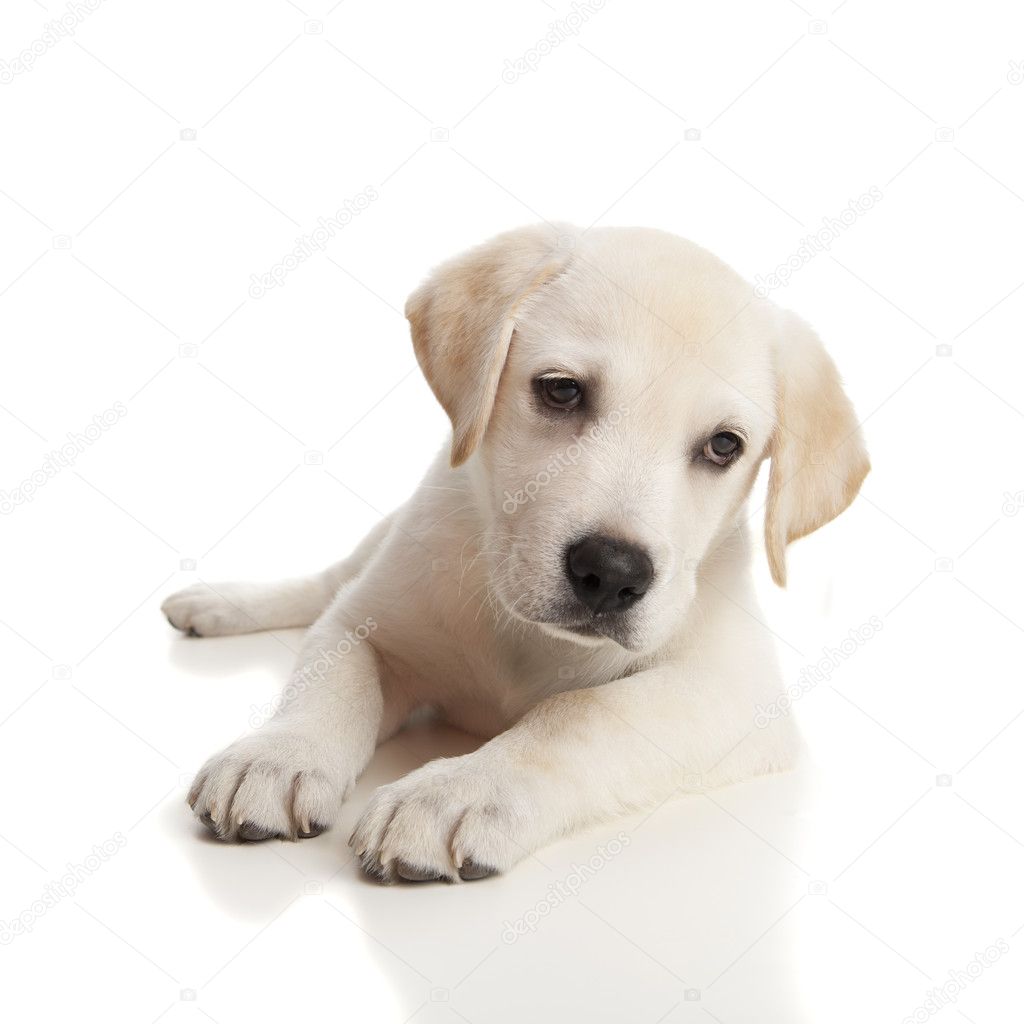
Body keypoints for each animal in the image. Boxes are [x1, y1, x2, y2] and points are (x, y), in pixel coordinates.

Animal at [163, 224, 868, 880]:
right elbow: (331, 680)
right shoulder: (366, 623)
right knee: (322, 584)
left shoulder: (734, 693)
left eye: (724, 446)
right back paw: (219, 604)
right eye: (561, 390)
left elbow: (584, 713)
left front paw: (455, 793)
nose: (612, 572)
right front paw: (278, 754)